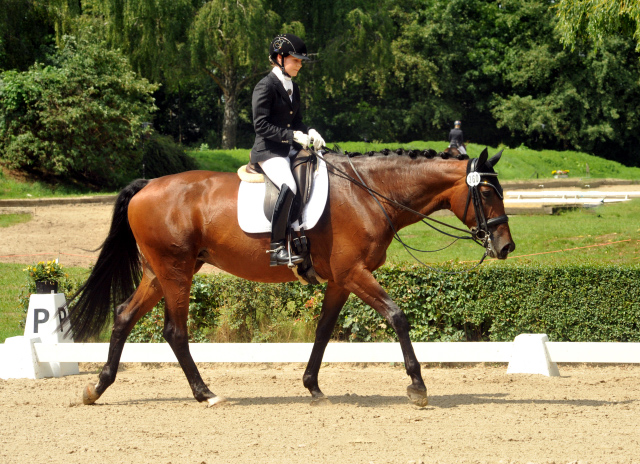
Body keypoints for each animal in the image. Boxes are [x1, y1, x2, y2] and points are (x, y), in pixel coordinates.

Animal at [66, 147, 516, 408]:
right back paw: (205, 394)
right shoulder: (355, 273)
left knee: (124, 316)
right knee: (175, 331)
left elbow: (323, 331)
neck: (368, 193)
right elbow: (397, 316)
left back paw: (97, 388)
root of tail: (146, 186)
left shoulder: (339, 280)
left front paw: (312, 386)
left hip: (163, 272)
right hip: (176, 271)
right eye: (487, 193)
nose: (505, 246)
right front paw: (418, 387)